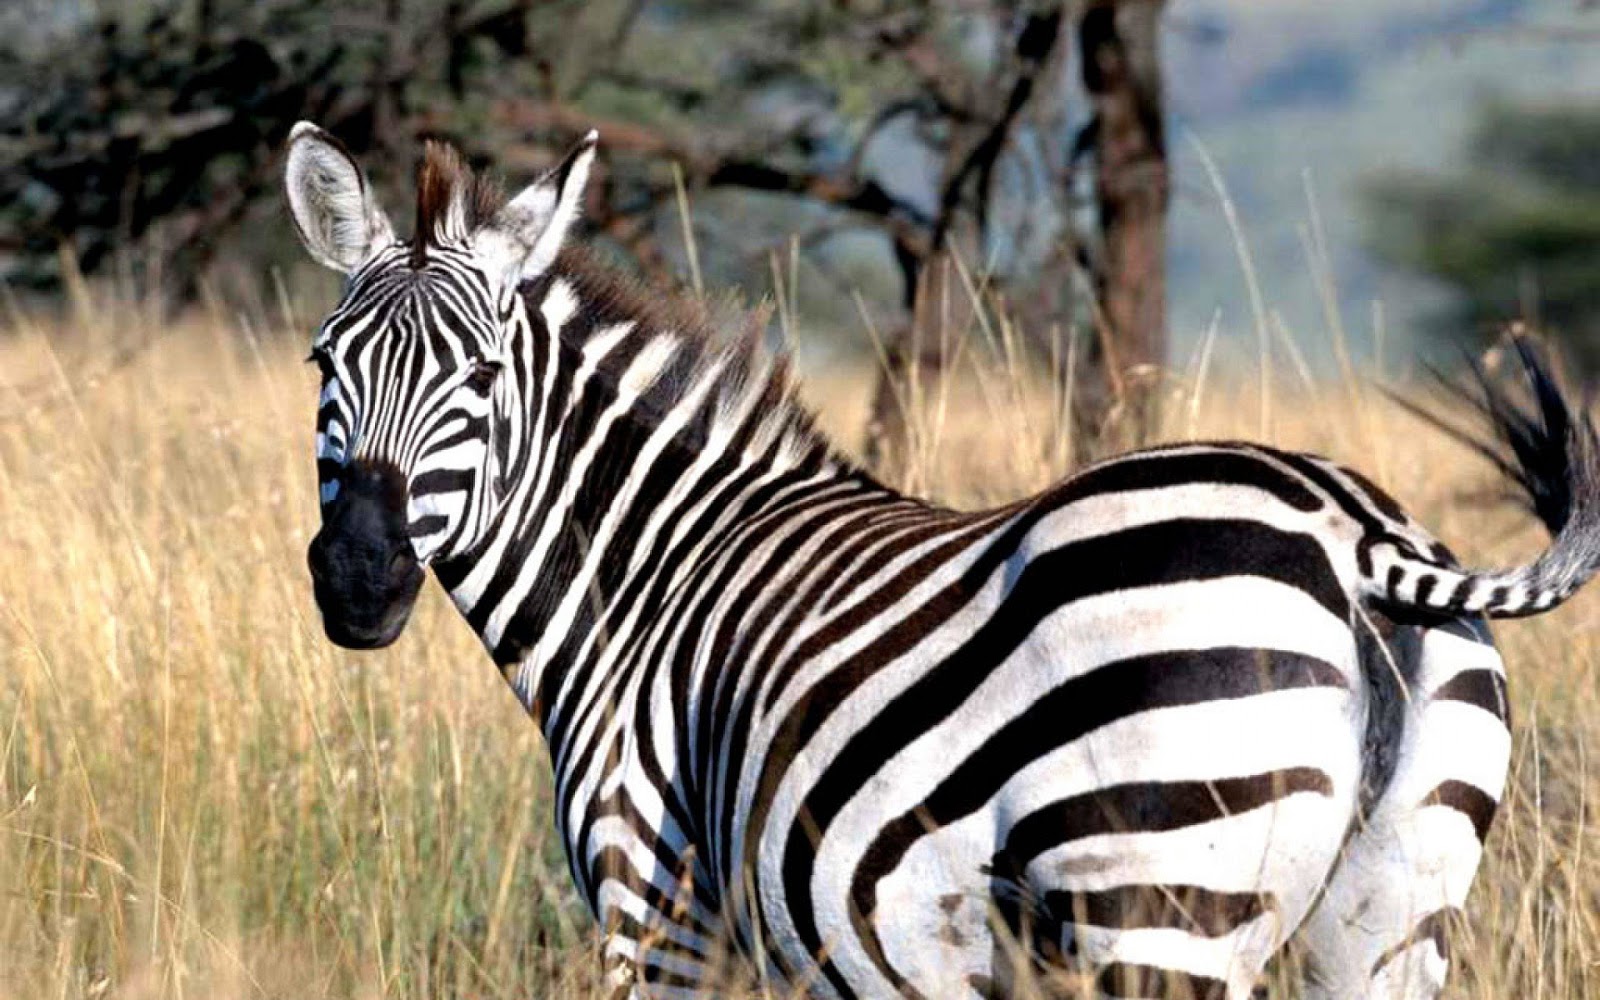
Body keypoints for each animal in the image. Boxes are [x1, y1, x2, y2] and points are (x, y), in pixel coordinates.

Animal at [284, 121, 1600, 999]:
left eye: (480, 375)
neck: (644, 578)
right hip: (1387, 915)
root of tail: (1349, 532)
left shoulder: (655, 906)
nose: (357, 579)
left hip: (1160, 905)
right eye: (323, 366)